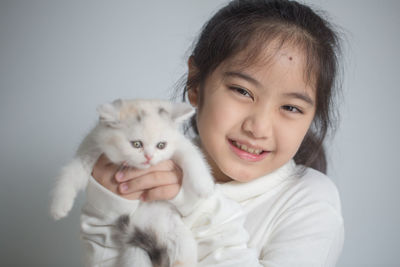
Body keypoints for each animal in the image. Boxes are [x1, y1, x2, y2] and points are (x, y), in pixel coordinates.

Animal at [50, 99, 216, 267]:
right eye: (136, 144)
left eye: (161, 145)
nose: (149, 157)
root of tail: (156, 239)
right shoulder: (91, 148)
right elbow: (71, 172)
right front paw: (59, 206)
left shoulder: (180, 144)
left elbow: (191, 155)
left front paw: (204, 186)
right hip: (133, 248)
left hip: (180, 238)